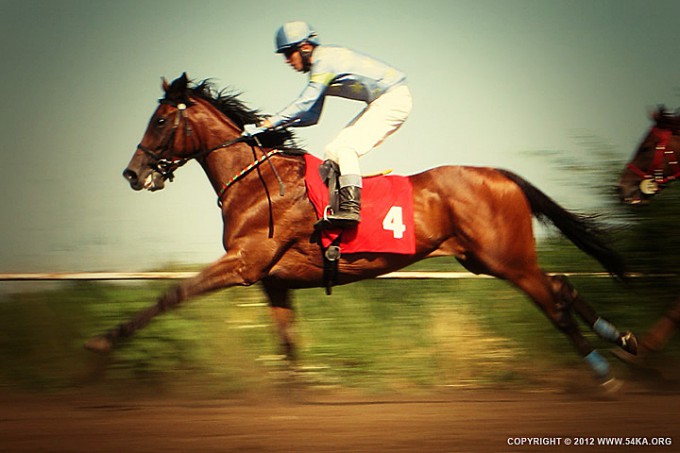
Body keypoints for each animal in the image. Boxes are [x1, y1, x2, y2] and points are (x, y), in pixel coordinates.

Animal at [86, 73, 637, 387]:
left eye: (160, 120)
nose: (132, 173)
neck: (258, 181)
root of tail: (498, 174)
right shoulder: (274, 282)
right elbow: (289, 343)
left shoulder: (244, 265)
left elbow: (173, 294)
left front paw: (102, 345)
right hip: (487, 259)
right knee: (561, 287)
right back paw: (625, 340)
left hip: (507, 259)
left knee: (553, 302)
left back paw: (604, 371)